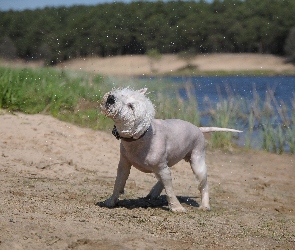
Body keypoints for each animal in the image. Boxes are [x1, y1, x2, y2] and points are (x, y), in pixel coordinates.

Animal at [100, 88, 242, 213]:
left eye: (131, 106)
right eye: (122, 94)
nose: (111, 98)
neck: (141, 137)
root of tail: (198, 128)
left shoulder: (162, 168)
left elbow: (170, 190)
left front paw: (177, 208)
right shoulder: (124, 164)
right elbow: (118, 183)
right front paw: (111, 201)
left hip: (197, 161)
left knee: (203, 184)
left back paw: (205, 206)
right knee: (163, 179)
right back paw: (154, 192)